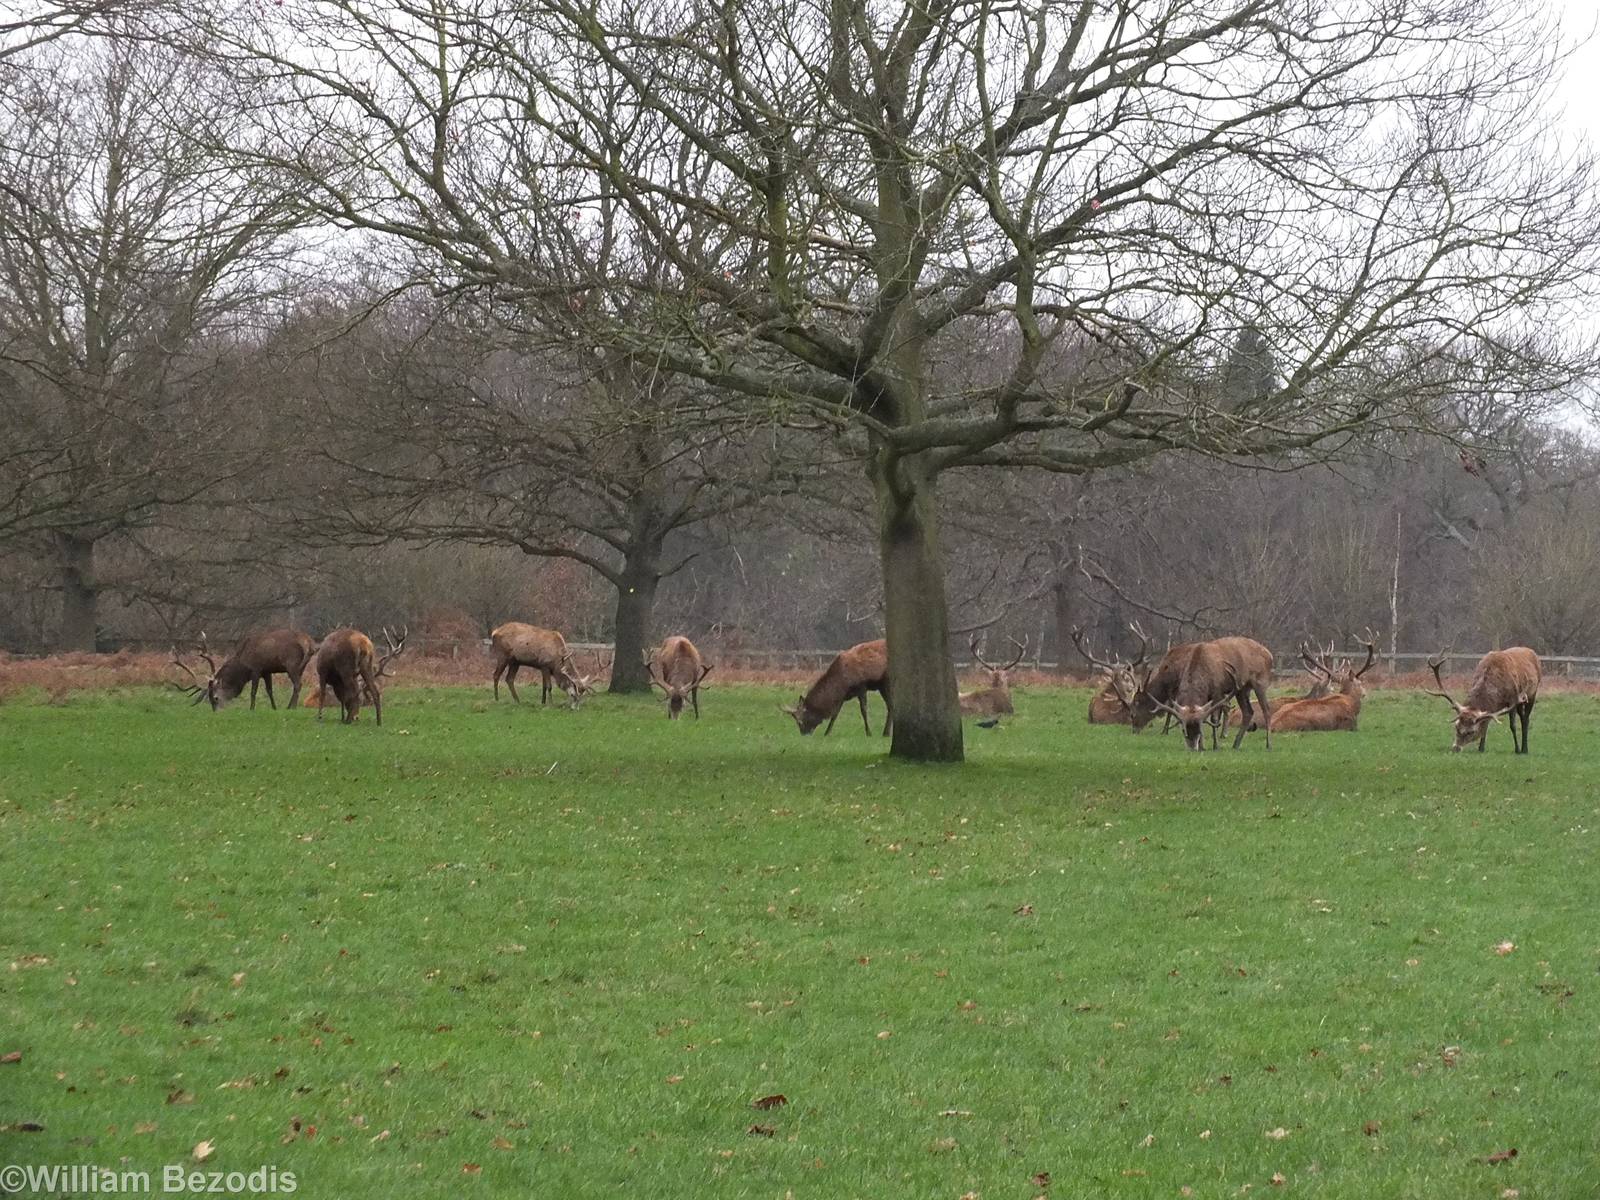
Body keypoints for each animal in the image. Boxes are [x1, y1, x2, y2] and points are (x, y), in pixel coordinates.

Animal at [171, 629, 317, 710]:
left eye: (215, 698)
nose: (216, 711)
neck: (242, 666)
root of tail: (309, 643)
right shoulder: (267, 671)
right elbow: (270, 690)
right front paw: (274, 708)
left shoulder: (256, 668)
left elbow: (253, 691)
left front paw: (251, 709)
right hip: (301, 666)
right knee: (297, 685)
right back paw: (290, 705)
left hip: (292, 663)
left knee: (298, 684)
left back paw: (291, 707)